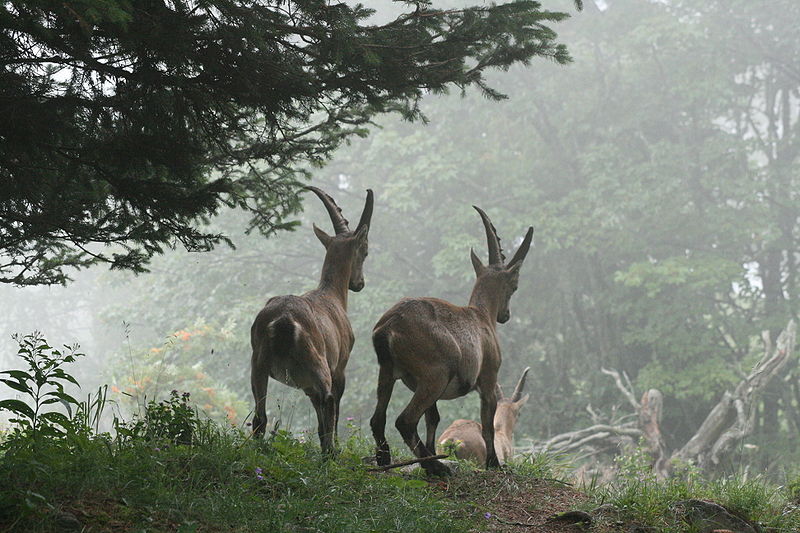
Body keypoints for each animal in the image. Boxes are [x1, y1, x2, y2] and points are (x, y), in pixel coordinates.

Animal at [250, 186, 373, 453]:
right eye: (365, 251)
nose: (359, 283)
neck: (332, 294)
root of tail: (284, 320)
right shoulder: (340, 366)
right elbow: (333, 408)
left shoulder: (307, 385)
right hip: (318, 363)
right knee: (329, 401)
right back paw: (331, 453)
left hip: (259, 364)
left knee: (259, 417)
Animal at [369, 206, 533, 475]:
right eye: (514, 286)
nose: (505, 315)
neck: (481, 316)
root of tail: (388, 326)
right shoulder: (488, 377)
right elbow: (487, 423)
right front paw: (494, 464)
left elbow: (433, 419)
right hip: (434, 374)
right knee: (405, 420)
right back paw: (435, 466)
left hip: (389, 371)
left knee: (378, 418)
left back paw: (387, 460)